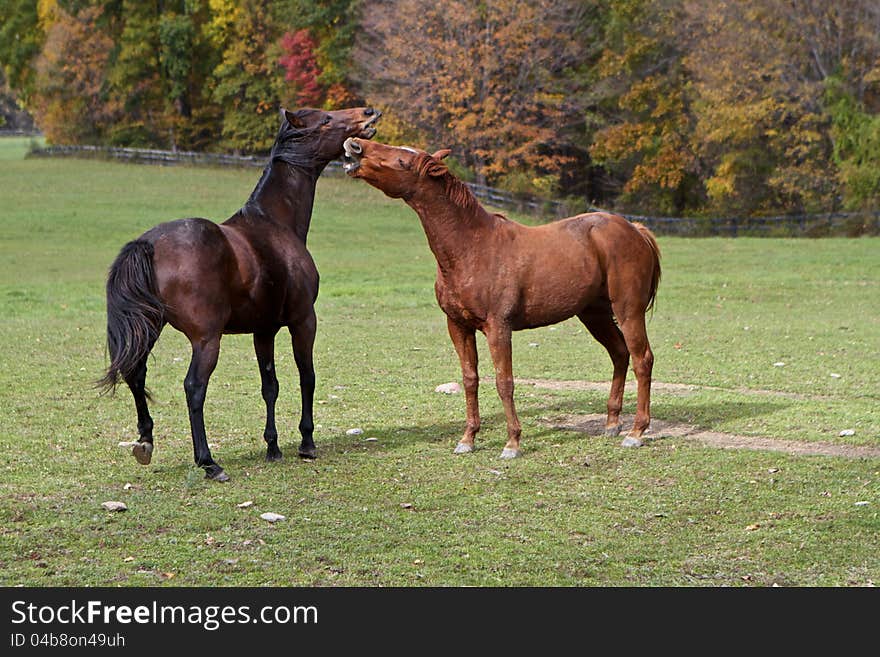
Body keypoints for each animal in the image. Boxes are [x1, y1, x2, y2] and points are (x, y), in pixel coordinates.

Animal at [99, 105, 382, 480]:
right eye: (325, 120)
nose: (368, 113)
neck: (275, 223)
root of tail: (148, 244)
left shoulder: (264, 330)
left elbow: (270, 386)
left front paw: (273, 447)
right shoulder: (303, 321)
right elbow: (307, 377)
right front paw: (306, 443)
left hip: (151, 326)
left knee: (136, 373)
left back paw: (145, 442)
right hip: (207, 340)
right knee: (194, 387)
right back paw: (208, 462)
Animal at [344, 136, 660, 458]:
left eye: (403, 161)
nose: (355, 144)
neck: (472, 247)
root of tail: (635, 229)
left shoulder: (498, 327)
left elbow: (504, 382)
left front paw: (512, 442)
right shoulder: (458, 326)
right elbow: (470, 379)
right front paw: (468, 438)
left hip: (628, 311)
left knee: (642, 360)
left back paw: (636, 431)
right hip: (594, 315)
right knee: (619, 354)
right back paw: (612, 423)